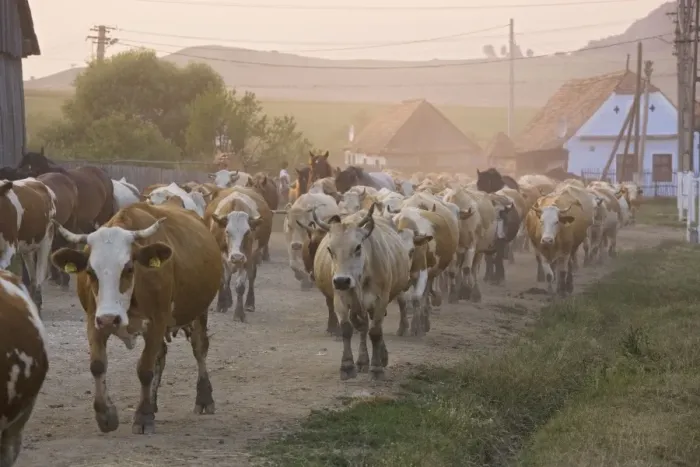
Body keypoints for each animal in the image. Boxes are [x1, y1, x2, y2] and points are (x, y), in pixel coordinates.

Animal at [0, 179, 56, 312]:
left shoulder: (11, 246)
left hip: (46, 239)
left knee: (40, 274)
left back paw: (37, 303)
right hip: (27, 248)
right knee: (33, 277)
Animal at [51, 202, 223, 434]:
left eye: (129, 268)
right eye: (90, 272)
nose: (110, 319)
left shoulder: (157, 321)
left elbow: (145, 369)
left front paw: (143, 417)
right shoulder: (94, 320)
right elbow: (97, 365)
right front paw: (106, 415)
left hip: (199, 312)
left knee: (199, 349)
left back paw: (204, 399)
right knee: (161, 355)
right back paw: (153, 402)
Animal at [205, 188, 272, 321]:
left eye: (247, 232)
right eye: (227, 231)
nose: (236, 257)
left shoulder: (246, 257)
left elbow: (240, 286)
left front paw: (239, 314)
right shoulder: (220, 256)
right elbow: (223, 280)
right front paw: (221, 304)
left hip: (254, 256)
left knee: (251, 277)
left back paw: (250, 303)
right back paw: (228, 301)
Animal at [312, 204, 411, 380]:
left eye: (358, 247)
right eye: (330, 249)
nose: (341, 280)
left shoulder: (380, 300)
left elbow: (376, 332)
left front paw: (377, 368)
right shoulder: (341, 299)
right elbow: (347, 329)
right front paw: (347, 366)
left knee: (373, 328)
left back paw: (380, 358)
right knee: (363, 327)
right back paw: (363, 361)